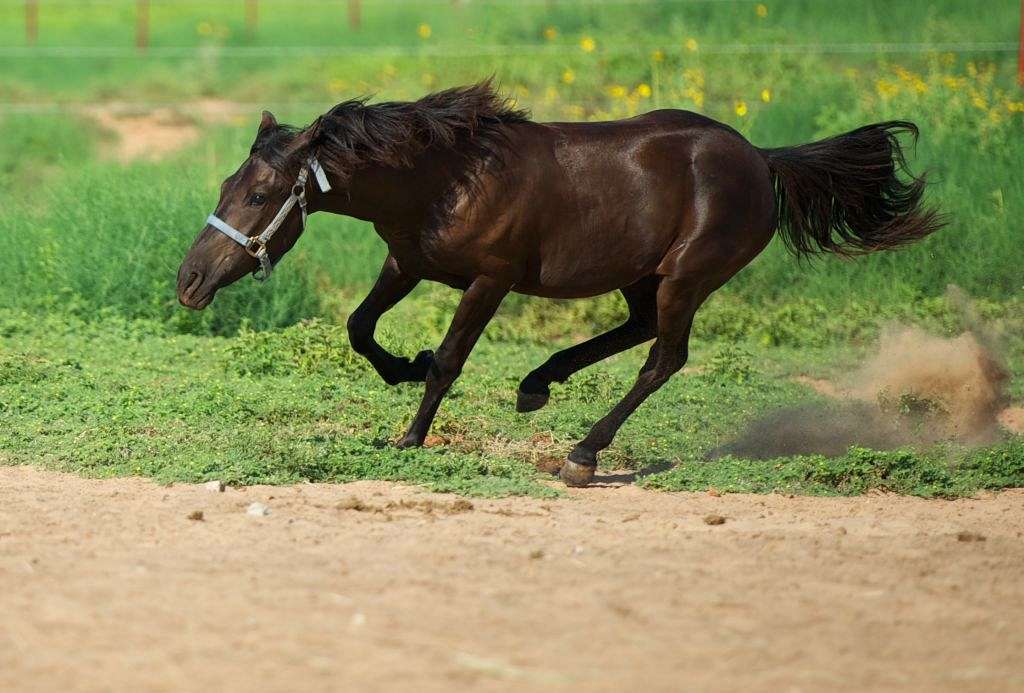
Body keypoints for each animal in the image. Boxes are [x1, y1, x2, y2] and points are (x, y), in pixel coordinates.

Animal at [177, 81, 943, 487]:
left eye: (260, 193)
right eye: (226, 184)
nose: (188, 282)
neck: (447, 177)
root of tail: (761, 157)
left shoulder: (489, 279)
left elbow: (450, 360)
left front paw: (409, 437)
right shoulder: (408, 263)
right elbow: (360, 328)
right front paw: (405, 367)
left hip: (687, 276)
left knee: (664, 356)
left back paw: (581, 452)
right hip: (640, 275)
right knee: (638, 330)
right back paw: (538, 383)